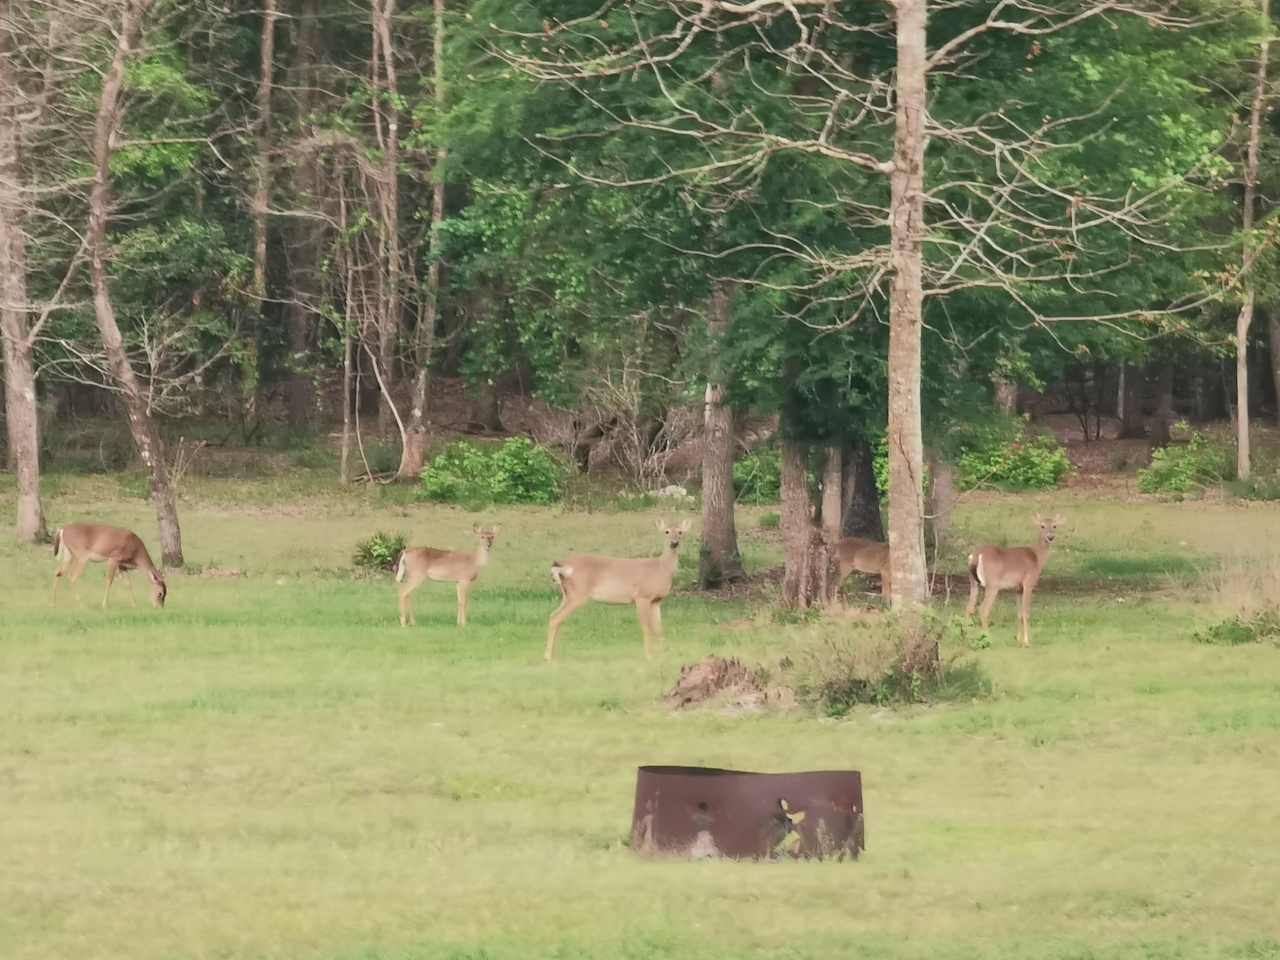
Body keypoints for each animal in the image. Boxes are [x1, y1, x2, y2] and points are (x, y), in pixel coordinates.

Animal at [547, 519, 696, 660]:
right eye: (666, 531)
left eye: (680, 532)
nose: (674, 543)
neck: (661, 568)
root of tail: (564, 566)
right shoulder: (642, 596)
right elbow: (646, 628)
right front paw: (649, 656)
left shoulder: (656, 601)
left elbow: (659, 629)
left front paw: (664, 655)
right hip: (578, 594)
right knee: (556, 618)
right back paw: (548, 657)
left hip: (567, 594)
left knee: (553, 616)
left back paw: (552, 655)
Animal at [962, 514, 1064, 650]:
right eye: (1042, 526)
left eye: (1054, 526)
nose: (1050, 537)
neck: (1036, 558)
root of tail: (976, 556)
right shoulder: (1028, 583)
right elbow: (1026, 613)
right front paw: (1026, 642)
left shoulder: (1018, 589)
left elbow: (1019, 614)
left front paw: (1019, 641)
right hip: (992, 585)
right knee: (983, 609)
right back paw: (987, 640)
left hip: (973, 583)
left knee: (969, 608)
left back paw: (966, 639)